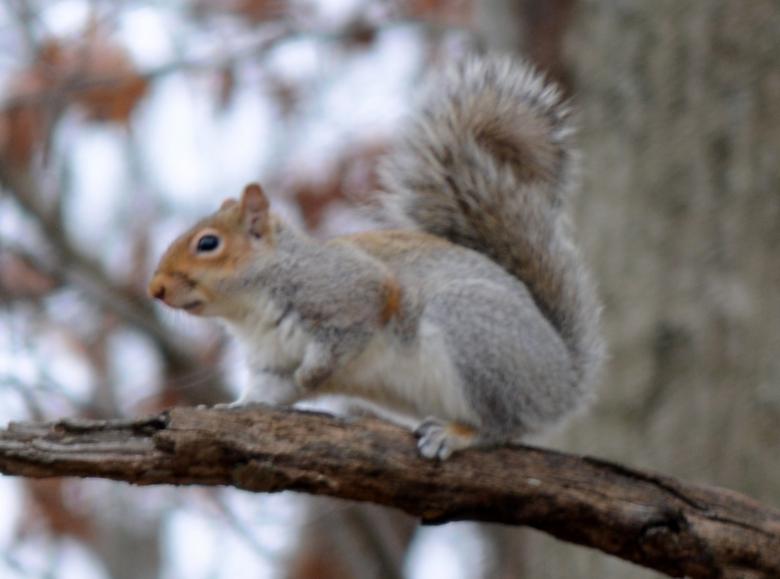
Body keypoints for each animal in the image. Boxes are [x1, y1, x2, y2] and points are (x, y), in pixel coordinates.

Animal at [148, 55, 604, 460]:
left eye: (208, 244)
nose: (155, 289)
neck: (251, 308)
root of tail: (565, 381)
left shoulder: (349, 291)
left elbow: (350, 331)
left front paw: (313, 373)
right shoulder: (271, 365)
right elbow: (268, 393)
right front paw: (229, 409)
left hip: (475, 332)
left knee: (502, 424)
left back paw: (456, 435)